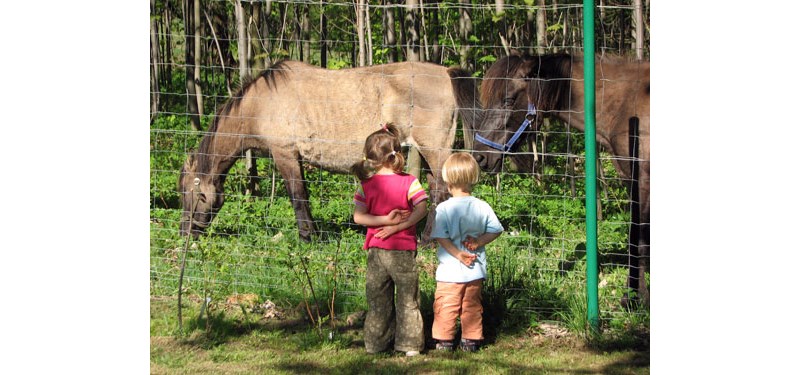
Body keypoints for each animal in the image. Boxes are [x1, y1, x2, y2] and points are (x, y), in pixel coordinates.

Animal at [180, 59, 482, 244]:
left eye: (190, 193)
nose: (184, 232)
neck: (261, 103)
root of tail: (446, 73)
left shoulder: (285, 154)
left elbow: (297, 196)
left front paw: (307, 237)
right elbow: (302, 194)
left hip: (434, 149)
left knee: (440, 191)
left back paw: (429, 241)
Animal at [468, 52, 648, 306]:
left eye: (508, 100)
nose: (479, 156)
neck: (624, 106)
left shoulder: (642, 179)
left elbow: (639, 239)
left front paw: (635, 298)